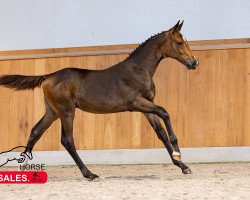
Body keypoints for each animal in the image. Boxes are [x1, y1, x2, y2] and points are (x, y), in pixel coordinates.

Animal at [0, 21, 199, 180]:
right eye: (179, 42)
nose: (194, 63)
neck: (138, 70)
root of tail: (48, 76)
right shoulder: (136, 103)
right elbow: (165, 112)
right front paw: (178, 153)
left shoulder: (146, 107)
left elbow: (161, 133)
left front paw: (183, 166)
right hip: (66, 111)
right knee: (67, 140)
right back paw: (89, 173)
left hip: (52, 111)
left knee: (35, 131)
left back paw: (23, 168)